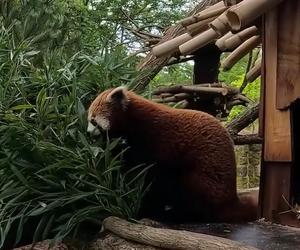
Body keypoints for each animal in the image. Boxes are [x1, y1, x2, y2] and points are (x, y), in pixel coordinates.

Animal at [86, 86, 258, 223]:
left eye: (93, 121)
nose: (87, 133)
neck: (133, 119)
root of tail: (231, 199)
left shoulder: (153, 142)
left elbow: (151, 178)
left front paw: (146, 208)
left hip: (202, 175)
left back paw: (176, 215)